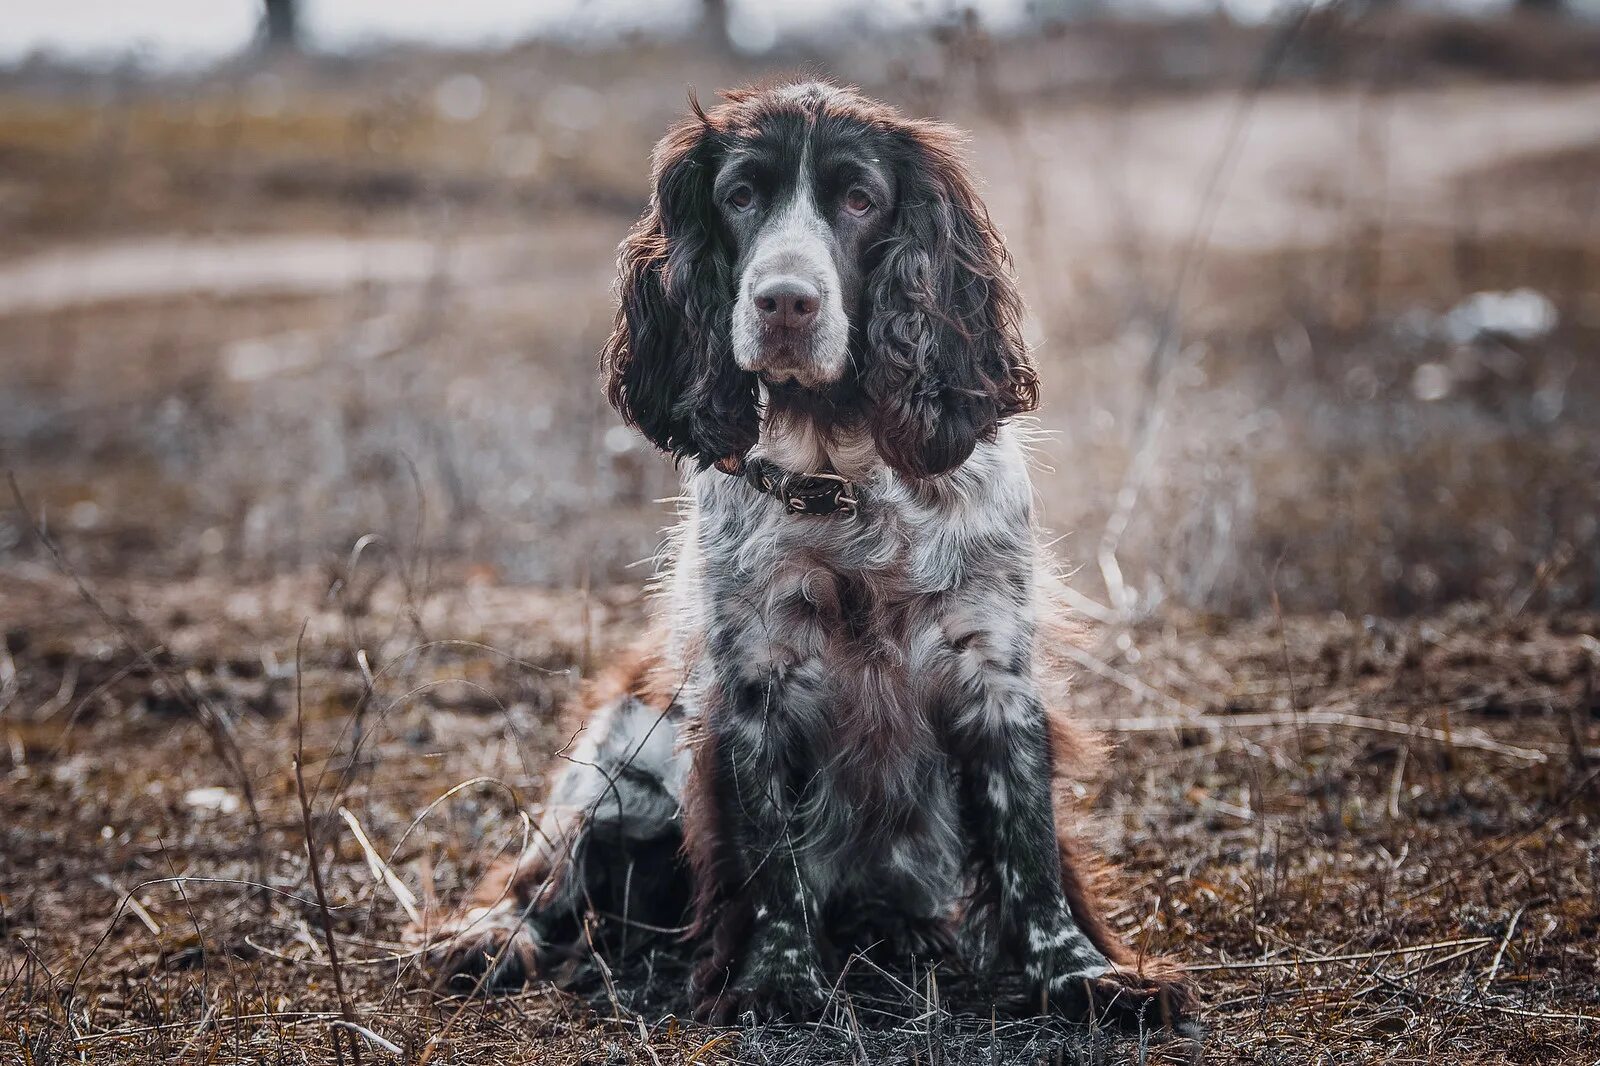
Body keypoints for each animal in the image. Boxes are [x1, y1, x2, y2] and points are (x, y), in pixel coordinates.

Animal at [419, 78, 1196, 1024]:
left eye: (860, 200)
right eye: (739, 196)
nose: (785, 302)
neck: (843, 482)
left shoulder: (996, 674)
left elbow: (1030, 849)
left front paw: (1082, 974)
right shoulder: (754, 685)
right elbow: (767, 855)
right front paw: (779, 981)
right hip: (610, 765)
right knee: (548, 868)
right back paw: (488, 938)